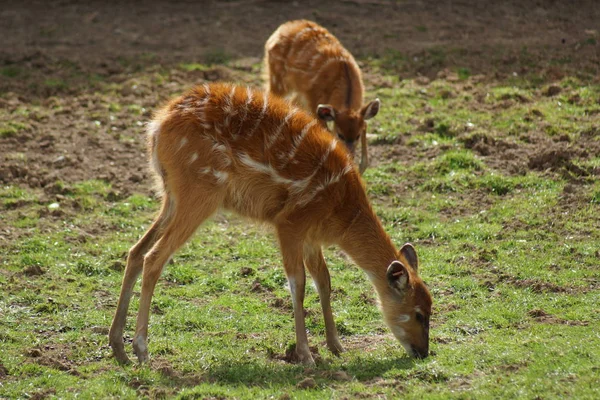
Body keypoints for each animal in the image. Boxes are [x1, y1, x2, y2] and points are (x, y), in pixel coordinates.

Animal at [109, 82, 432, 366]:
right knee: (154, 258)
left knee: (136, 251)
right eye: (418, 313)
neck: (343, 211)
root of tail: (156, 126)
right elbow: (298, 284)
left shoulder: (311, 237)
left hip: (172, 196)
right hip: (199, 194)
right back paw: (142, 351)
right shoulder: (289, 223)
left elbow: (324, 281)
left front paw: (336, 346)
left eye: (431, 309)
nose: (423, 352)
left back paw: (118, 347)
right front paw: (306, 356)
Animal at [264, 19, 380, 173]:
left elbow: (365, 125)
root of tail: (282, 28)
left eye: (357, 135)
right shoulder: (315, 103)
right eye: (340, 134)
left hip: (298, 91)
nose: (350, 154)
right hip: (277, 79)